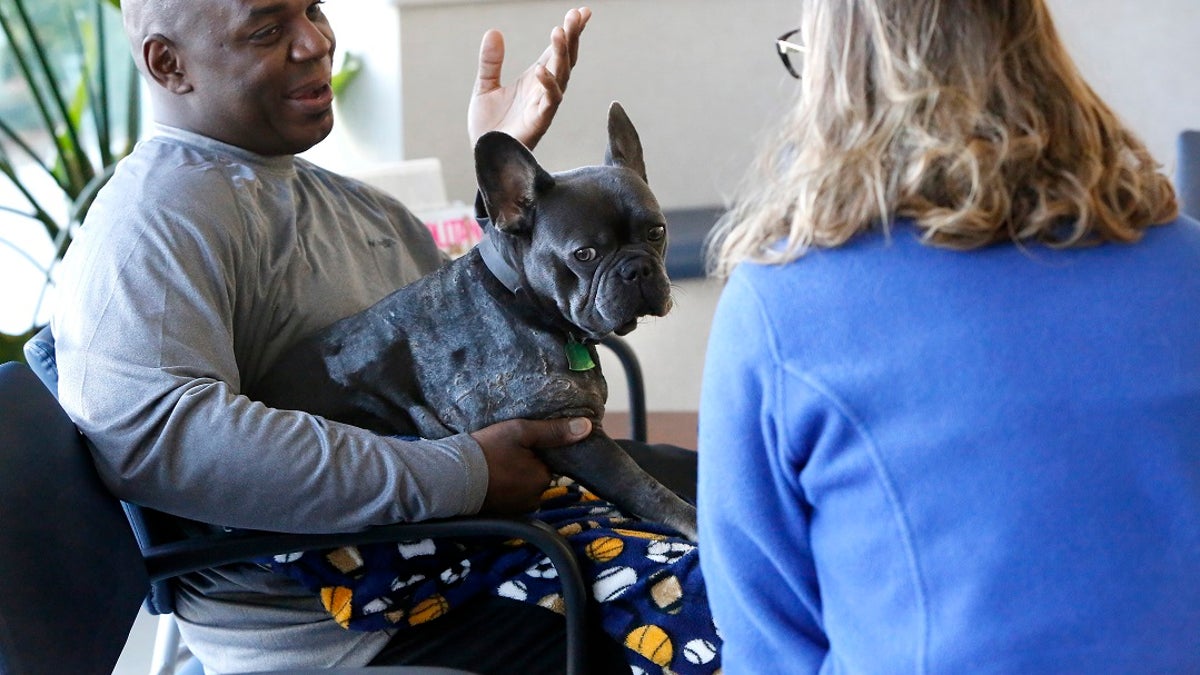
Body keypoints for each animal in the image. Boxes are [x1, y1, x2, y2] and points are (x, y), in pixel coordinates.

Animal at [256, 102, 700, 538]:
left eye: (657, 232)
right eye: (585, 254)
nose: (637, 269)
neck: (522, 300)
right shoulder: (571, 433)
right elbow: (641, 486)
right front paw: (693, 523)